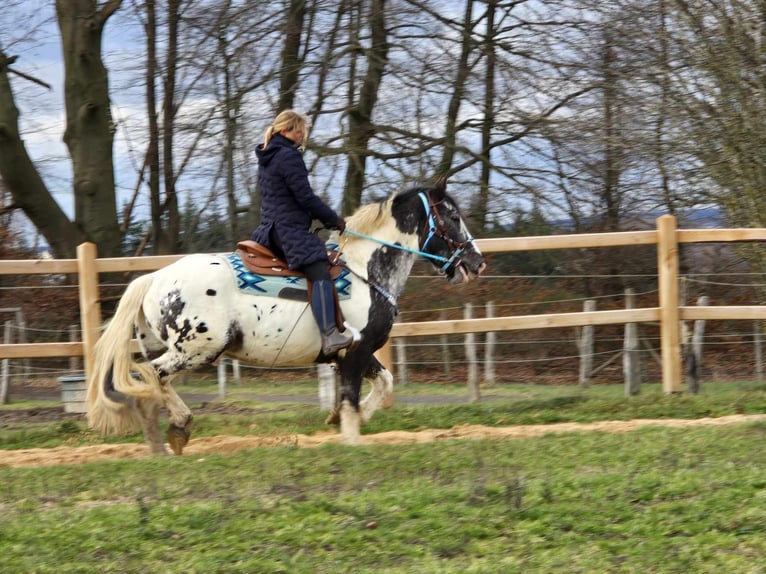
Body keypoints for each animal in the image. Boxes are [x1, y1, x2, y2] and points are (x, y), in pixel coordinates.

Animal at [85, 178, 486, 456]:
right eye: (453, 216)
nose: (476, 263)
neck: (366, 271)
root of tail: (153, 279)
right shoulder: (354, 353)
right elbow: (352, 397)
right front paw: (351, 437)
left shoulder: (354, 354)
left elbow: (383, 383)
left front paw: (341, 420)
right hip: (198, 348)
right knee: (151, 376)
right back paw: (178, 428)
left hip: (168, 345)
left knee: (145, 382)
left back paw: (162, 443)